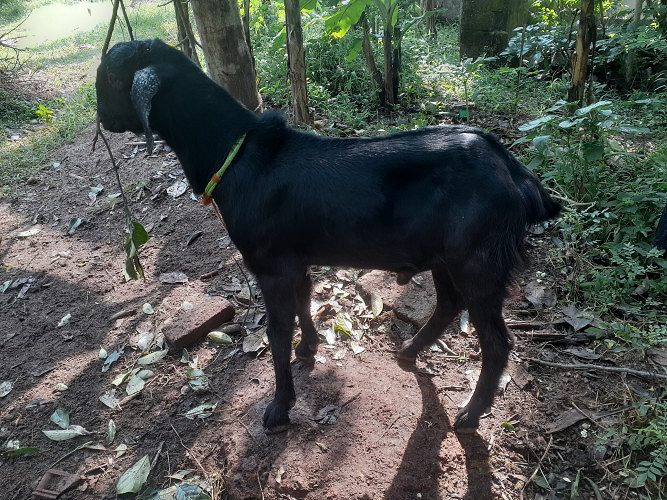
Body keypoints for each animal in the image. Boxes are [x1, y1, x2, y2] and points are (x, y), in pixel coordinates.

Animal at [96, 39, 561, 433]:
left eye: (112, 80)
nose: (101, 117)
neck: (239, 154)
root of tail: (516, 173)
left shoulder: (270, 264)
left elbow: (276, 332)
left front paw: (279, 409)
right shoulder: (296, 257)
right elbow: (305, 298)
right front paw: (309, 348)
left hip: (478, 258)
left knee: (496, 342)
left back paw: (470, 413)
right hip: (446, 256)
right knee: (449, 304)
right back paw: (410, 351)